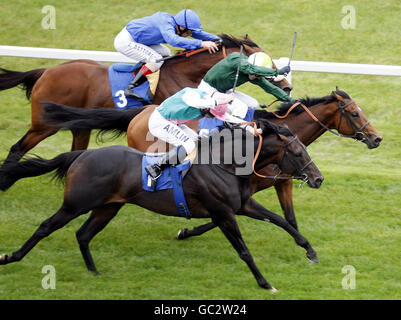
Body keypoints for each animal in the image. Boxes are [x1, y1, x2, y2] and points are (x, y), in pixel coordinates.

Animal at [0, 34, 290, 165]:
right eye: (266, 61)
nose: (286, 84)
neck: (187, 74)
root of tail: (45, 72)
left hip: (79, 127)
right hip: (44, 125)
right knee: (17, 148)